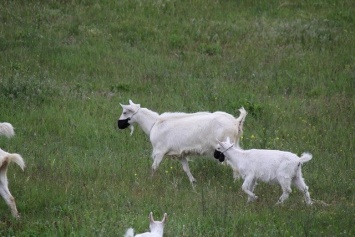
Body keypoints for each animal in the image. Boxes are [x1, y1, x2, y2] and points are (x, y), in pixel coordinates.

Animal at [118, 100, 246, 185]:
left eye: (124, 112)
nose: (118, 124)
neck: (154, 123)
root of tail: (236, 122)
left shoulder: (159, 151)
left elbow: (154, 167)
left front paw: (150, 181)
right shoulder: (181, 154)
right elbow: (186, 169)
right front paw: (193, 182)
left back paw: (235, 182)